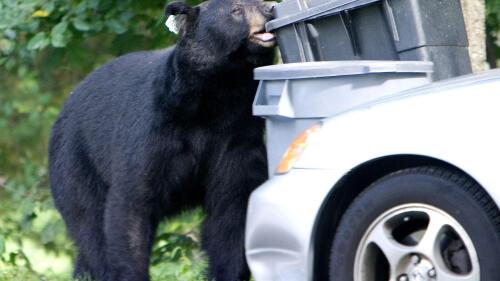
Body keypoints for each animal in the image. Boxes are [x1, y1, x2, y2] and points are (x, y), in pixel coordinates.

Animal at [48, 0, 276, 278]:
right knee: (89, 224)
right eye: (236, 9)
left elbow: (232, 209)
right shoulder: (153, 132)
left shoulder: (236, 136)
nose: (270, 8)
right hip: (76, 164)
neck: (213, 99)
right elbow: (132, 204)